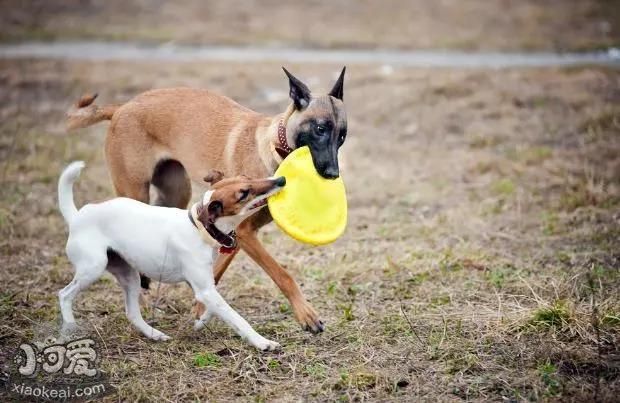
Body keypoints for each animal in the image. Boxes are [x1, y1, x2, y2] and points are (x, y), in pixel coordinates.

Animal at [57, 161, 284, 350]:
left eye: (247, 177)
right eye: (244, 193)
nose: (281, 180)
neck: (200, 228)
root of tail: (77, 217)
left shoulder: (205, 286)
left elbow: (215, 307)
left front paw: (200, 322)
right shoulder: (205, 289)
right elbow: (236, 317)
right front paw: (262, 342)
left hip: (129, 276)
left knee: (132, 313)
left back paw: (154, 334)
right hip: (93, 268)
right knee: (64, 295)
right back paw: (71, 329)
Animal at [69, 68, 348, 332]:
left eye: (343, 136)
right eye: (320, 129)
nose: (333, 174)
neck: (274, 148)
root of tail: (122, 107)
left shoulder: (234, 235)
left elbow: (215, 272)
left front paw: (201, 309)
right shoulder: (245, 233)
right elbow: (282, 274)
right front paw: (306, 314)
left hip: (175, 193)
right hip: (135, 191)